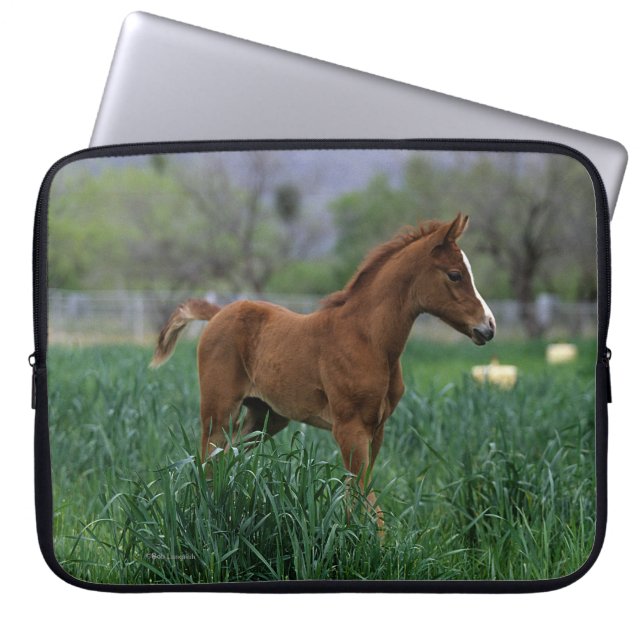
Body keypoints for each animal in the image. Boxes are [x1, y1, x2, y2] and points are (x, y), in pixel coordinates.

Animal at [150, 213, 495, 522]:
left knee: (227, 458)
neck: (369, 340)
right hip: (218, 410)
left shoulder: (377, 429)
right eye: (455, 275)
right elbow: (364, 497)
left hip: (265, 416)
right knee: (207, 460)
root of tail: (218, 313)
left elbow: (360, 493)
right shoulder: (349, 427)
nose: (488, 327)